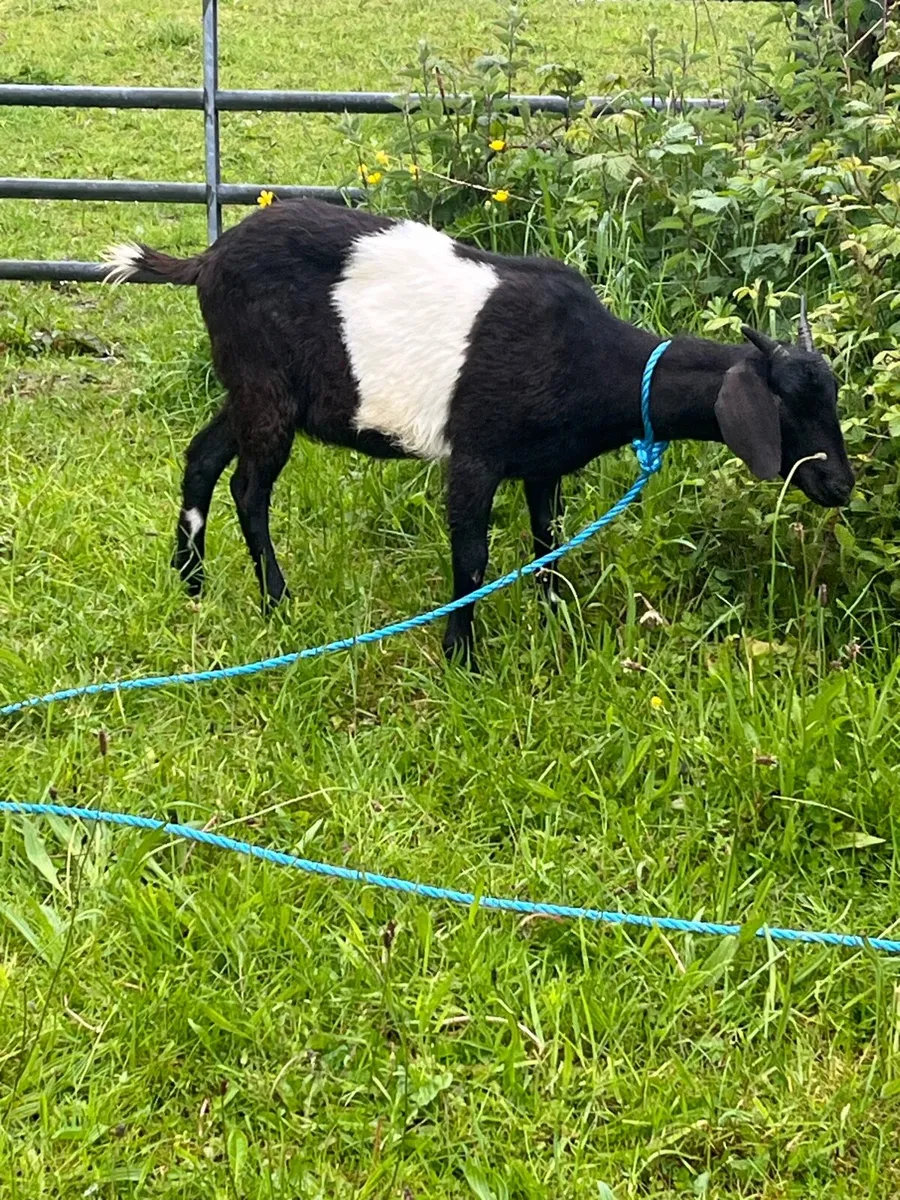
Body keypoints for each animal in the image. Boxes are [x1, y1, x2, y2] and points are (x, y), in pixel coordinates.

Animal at [104, 199, 854, 667]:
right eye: (786, 406)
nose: (840, 485)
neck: (587, 357)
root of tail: (205, 260)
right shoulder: (475, 455)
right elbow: (470, 557)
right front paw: (462, 655)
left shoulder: (544, 465)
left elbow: (548, 542)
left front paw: (554, 620)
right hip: (265, 390)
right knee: (248, 489)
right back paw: (276, 603)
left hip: (253, 389)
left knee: (201, 457)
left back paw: (191, 581)